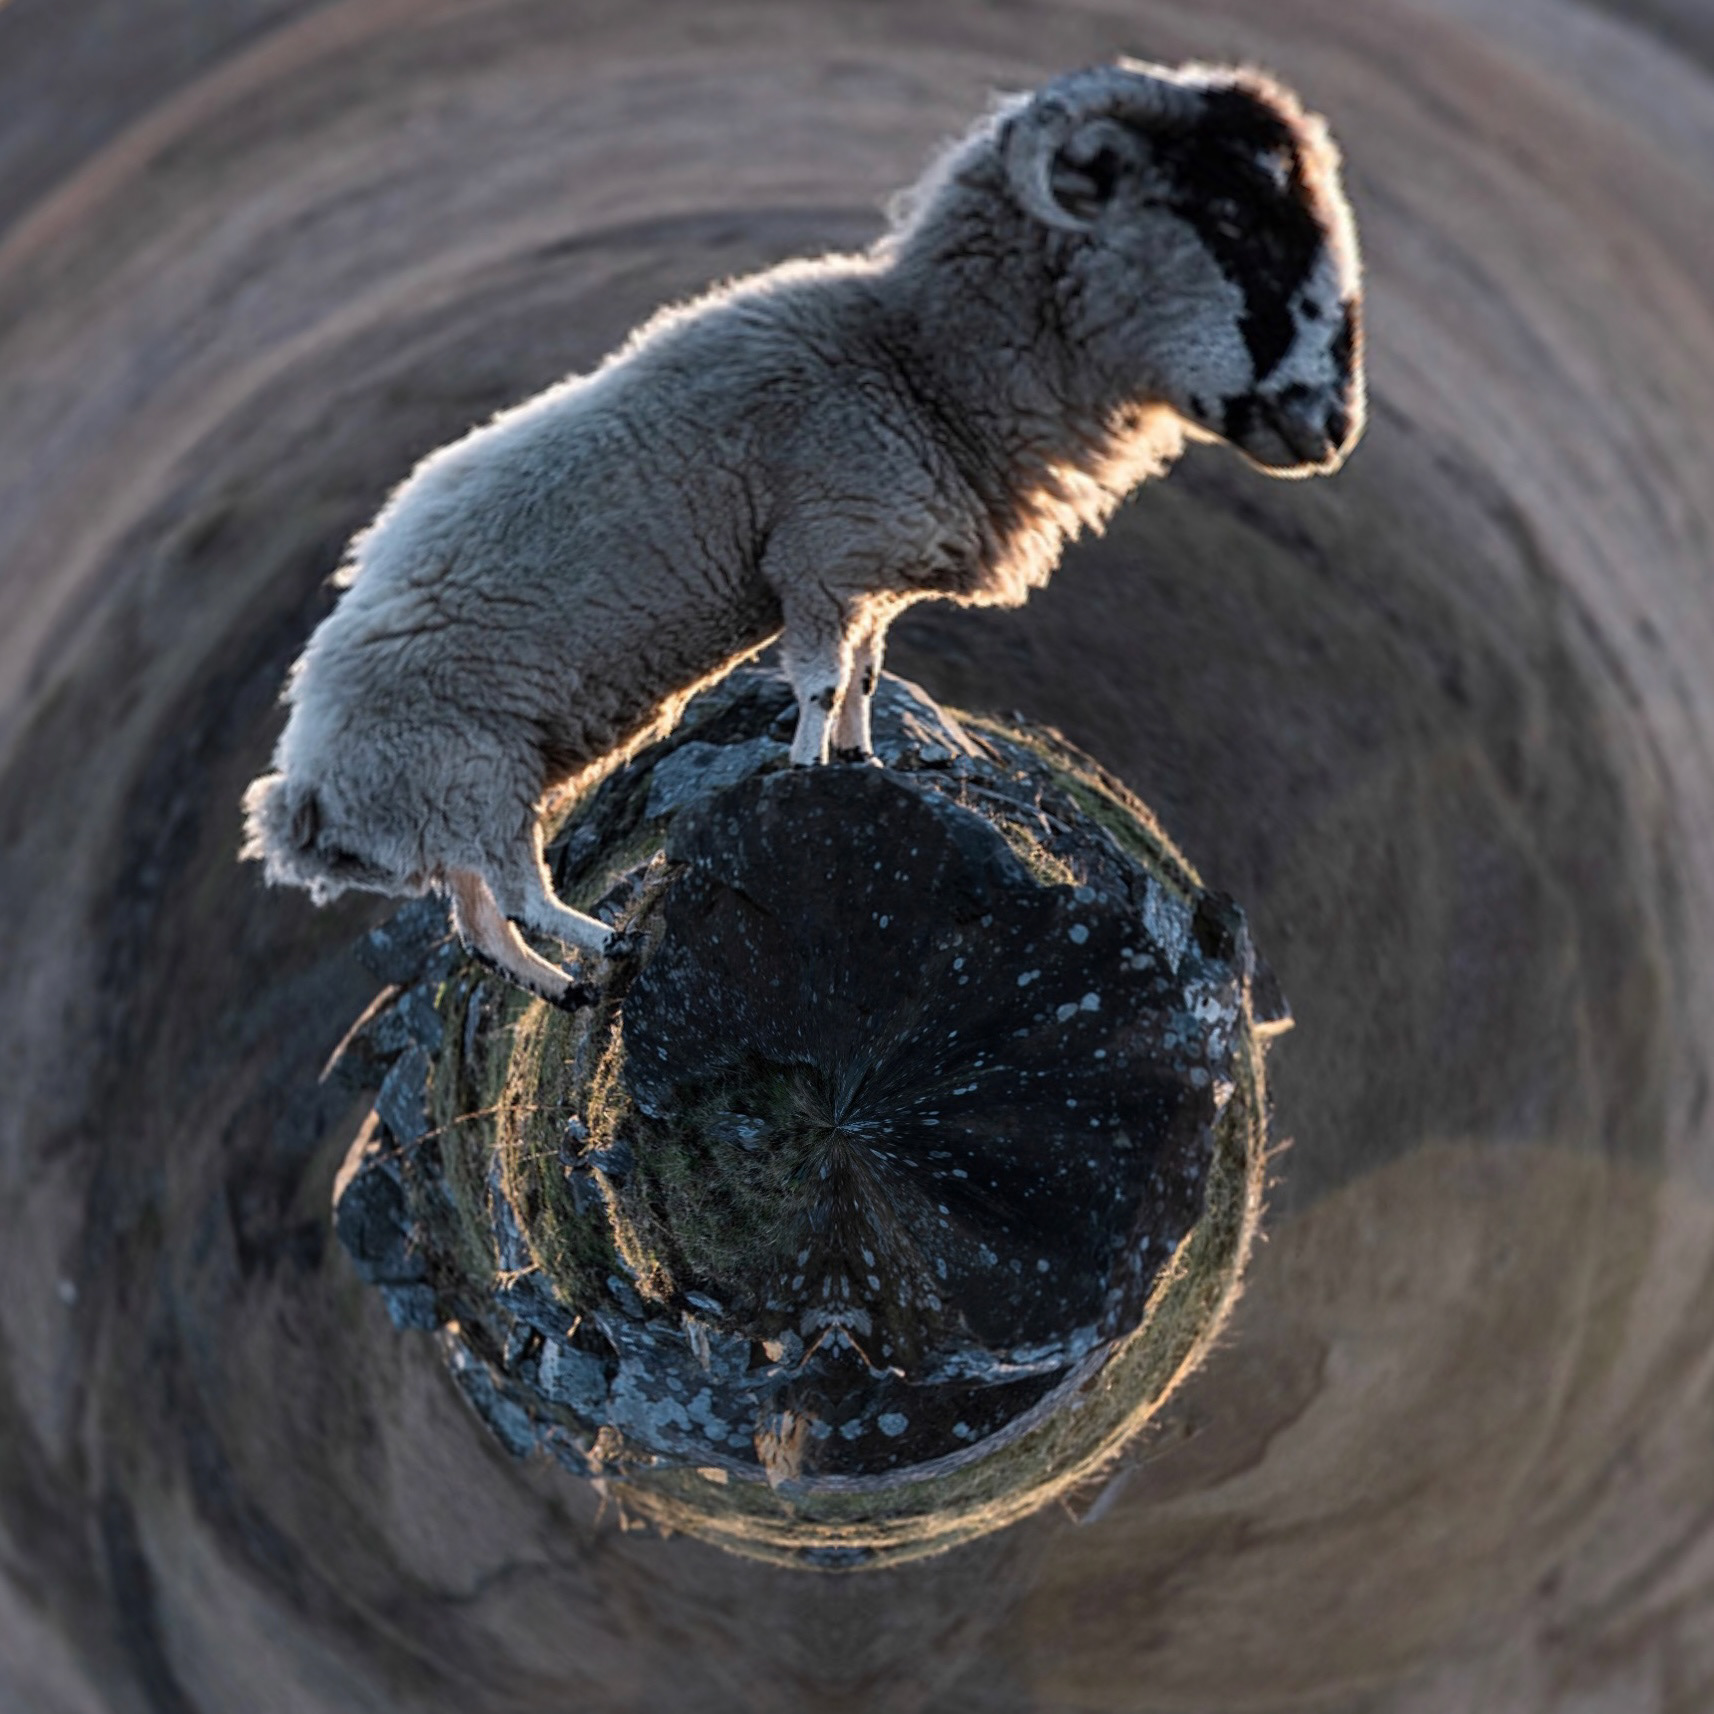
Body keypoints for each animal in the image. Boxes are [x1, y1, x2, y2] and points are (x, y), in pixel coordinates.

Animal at [242, 57, 1366, 1006]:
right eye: (1230, 215)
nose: (1334, 424)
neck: (921, 366)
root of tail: (303, 792)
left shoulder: (860, 573)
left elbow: (867, 669)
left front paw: (866, 764)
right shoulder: (816, 559)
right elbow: (821, 680)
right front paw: (805, 776)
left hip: (457, 813)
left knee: (478, 925)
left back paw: (567, 989)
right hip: (469, 783)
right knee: (516, 895)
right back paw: (610, 947)